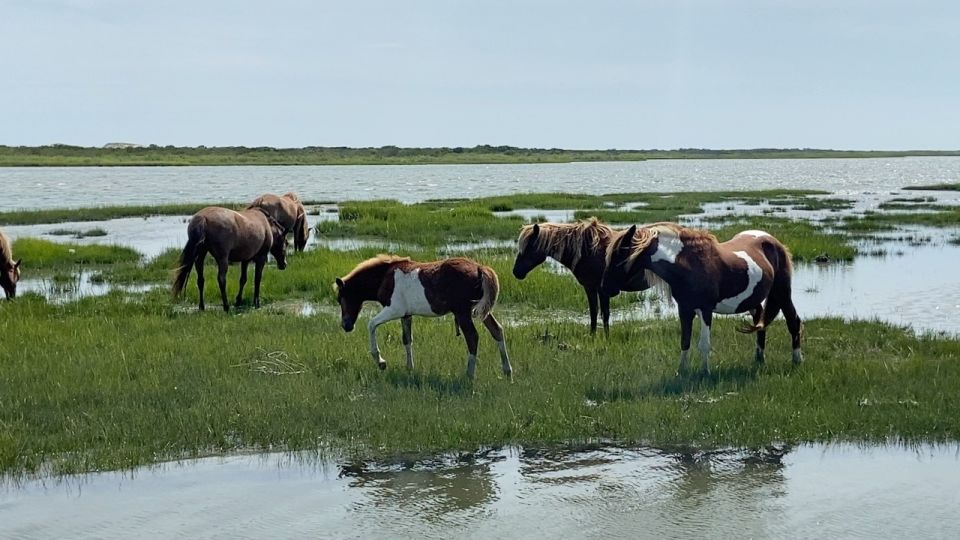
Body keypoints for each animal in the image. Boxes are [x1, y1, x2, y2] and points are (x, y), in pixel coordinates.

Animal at [338, 254, 516, 378]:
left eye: (340, 298)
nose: (346, 326)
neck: (385, 277)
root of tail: (479, 268)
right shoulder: (406, 315)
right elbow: (407, 339)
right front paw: (409, 368)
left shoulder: (394, 309)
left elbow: (371, 324)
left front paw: (380, 361)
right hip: (482, 311)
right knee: (497, 330)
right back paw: (507, 371)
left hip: (463, 312)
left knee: (472, 337)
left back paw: (469, 375)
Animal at [512, 217, 648, 336]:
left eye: (529, 246)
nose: (516, 272)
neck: (589, 251)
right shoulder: (595, 288)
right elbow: (596, 312)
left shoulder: (596, 288)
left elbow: (601, 313)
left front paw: (602, 336)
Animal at [600, 221, 804, 374]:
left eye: (619, 253)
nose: (604, 288)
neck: (689, 265)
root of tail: (773, 241)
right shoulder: (685, 310)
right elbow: (685, 340)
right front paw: (681, 371)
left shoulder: (705, 310)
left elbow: (704, 344)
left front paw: (706, 372)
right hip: (753, 299)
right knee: (760, 320)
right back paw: (759, 358)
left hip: (782, 292)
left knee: (793, 321)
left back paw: (797, 359)